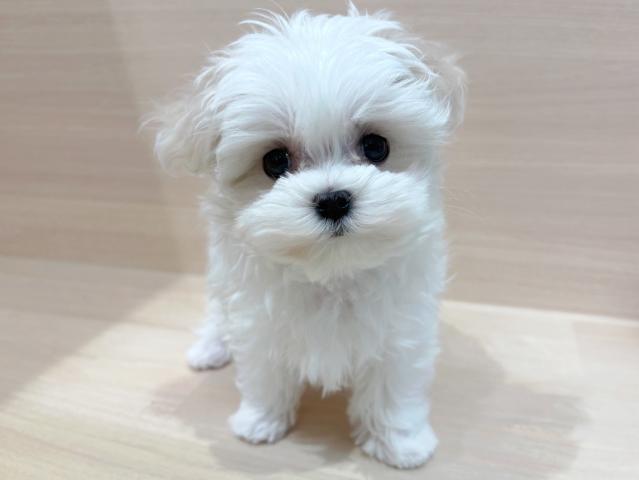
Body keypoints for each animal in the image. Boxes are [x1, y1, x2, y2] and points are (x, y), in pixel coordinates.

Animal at [149, 4, 464, 469]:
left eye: (376, 146)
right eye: (275, 161)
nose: (333, 199)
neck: (331, 273)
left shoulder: (401, 327)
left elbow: (393, 385)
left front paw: (400, 442)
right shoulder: (258, 321)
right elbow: (263, 370)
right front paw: (260, 420)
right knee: (216, 311)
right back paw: (209, 348)